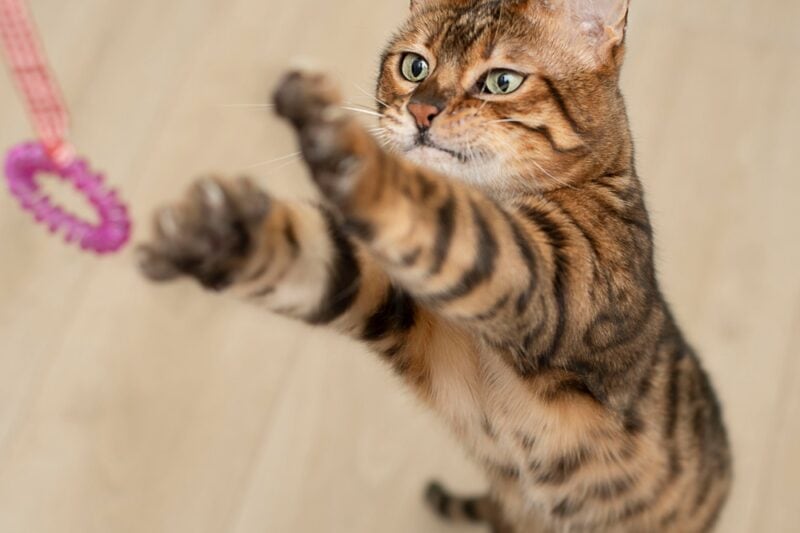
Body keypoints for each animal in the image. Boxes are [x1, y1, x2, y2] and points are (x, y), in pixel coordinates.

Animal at [139, 1, 732, 532]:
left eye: (501, 81)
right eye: (414, 67)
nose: (421, 111)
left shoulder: (551, 273)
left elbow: (445, 216)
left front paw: (337, 140)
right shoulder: (403, 307)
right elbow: (319, 254)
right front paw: (220, 232)